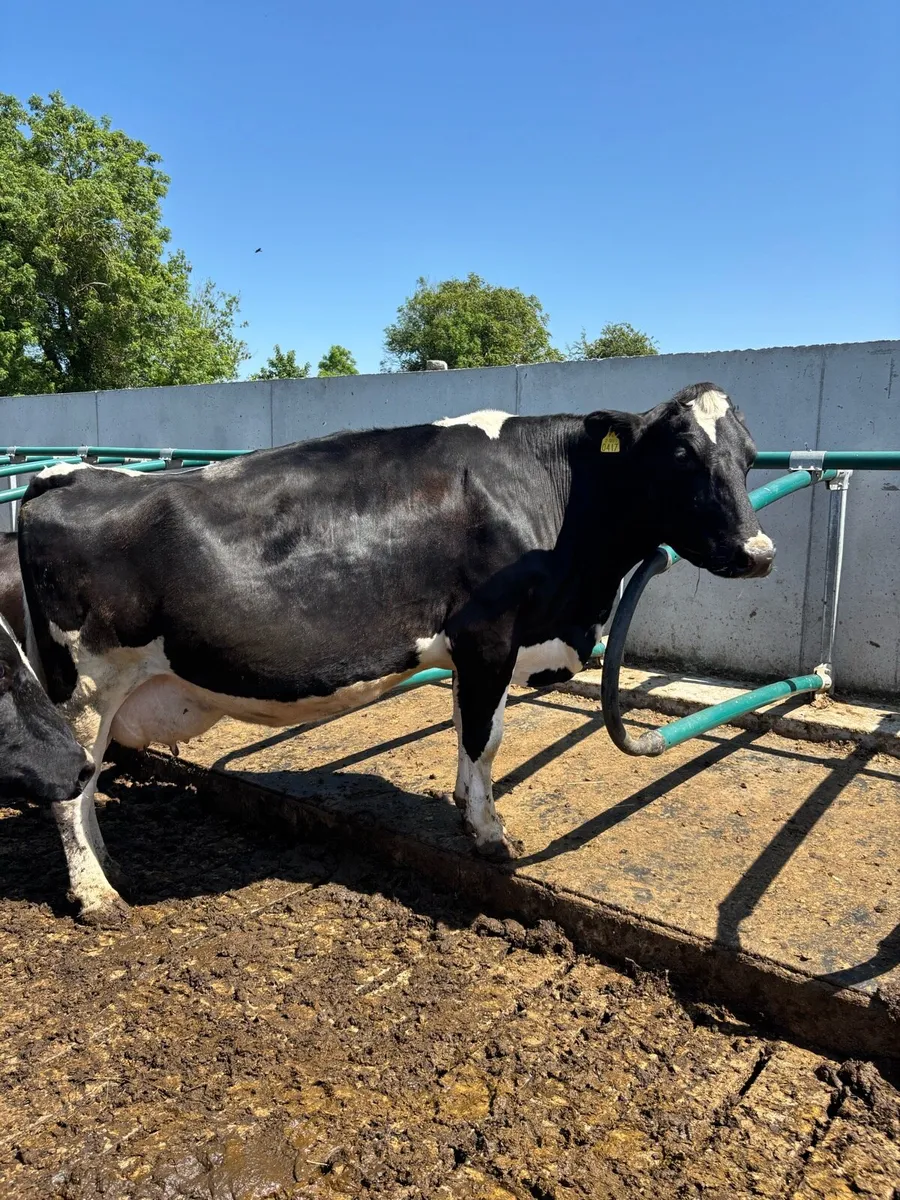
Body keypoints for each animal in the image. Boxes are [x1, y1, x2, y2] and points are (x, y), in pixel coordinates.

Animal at [18, 382, 773, 925]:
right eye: (679, 456)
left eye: (747, 457)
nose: (758, 553)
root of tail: (65, 476)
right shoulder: (489, 631)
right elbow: (486, 735)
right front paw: (489, 836)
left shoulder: (476, 647)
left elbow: (468, 732)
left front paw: (466, 810)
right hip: (86, 684)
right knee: (70, 788)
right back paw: (96, 897)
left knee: (86, 782)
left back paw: (109, 866)